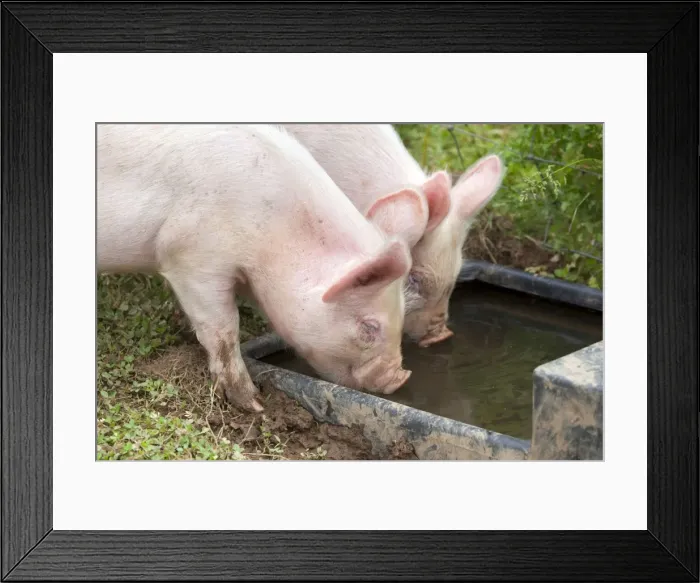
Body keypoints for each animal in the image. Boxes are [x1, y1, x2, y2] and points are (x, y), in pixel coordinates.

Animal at [97, 123, 420, 413]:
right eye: (369, 327)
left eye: (402, 315)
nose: (400, 378)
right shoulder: (190, 254)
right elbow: (223, 328)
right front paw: (254, 404)